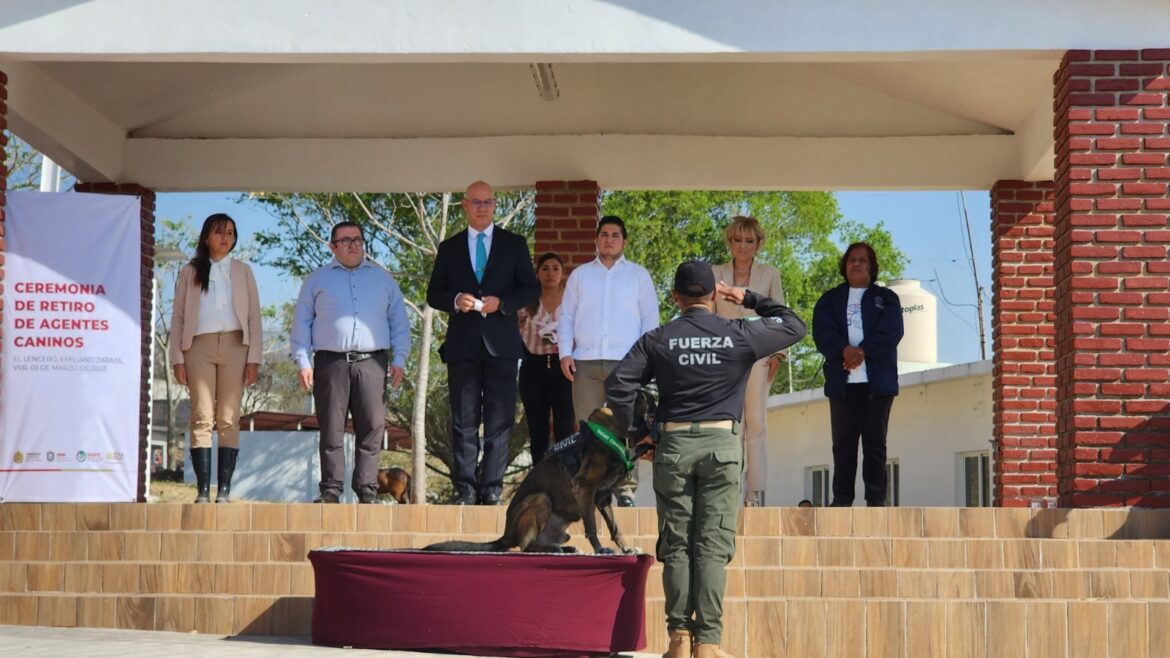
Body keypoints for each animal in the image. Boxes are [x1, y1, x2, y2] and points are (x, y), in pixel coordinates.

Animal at [423, 388, 659, 552]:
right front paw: (600, 549)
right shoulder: (584, 489)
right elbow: (591, 527)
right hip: (540, 499)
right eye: (652, 404)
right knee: (525, 546)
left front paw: (626, 548)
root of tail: (506, 535)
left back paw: (563, 548)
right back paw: (554, 549)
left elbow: (615, 527)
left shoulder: (602, 498)